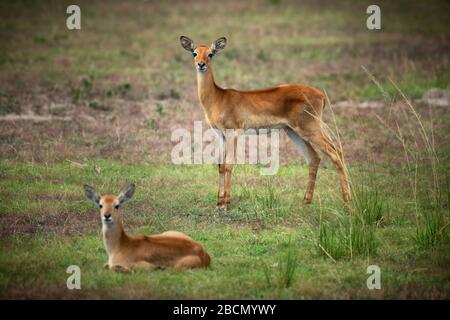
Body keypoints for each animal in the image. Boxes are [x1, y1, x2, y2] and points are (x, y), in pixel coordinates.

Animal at [180, 35, 352, 210]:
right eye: (194, 53)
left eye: (211, 53)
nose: (201, 64)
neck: (218, 98)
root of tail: (321, 95)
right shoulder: (220, 135)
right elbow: (220, 165)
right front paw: (219, 202)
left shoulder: (233, 133)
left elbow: (229, 165)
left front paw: (226, 203)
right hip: (294, 131)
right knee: (314, 158)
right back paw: (306, 200)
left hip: (310, 129)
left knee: (336, 152)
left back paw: (347, 201)